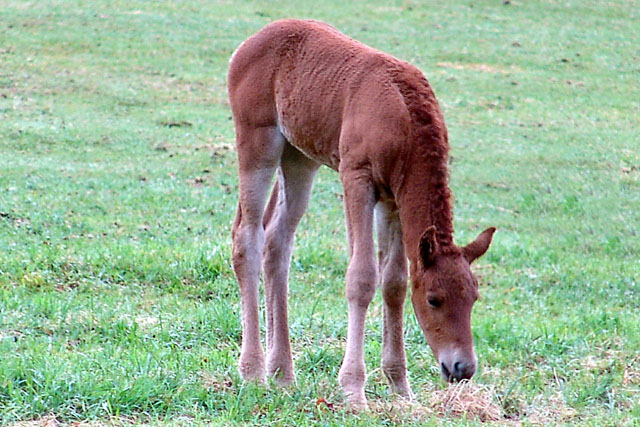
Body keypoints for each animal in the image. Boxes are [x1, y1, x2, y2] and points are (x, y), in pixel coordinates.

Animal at [228, 19, 498, 408]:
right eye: (434, 299)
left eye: (473, 298)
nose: (461, 368)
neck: (405, 118)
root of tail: (249, 43)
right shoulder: (357, 177)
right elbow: (362, 278)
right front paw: (353, 390)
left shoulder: (393, 199)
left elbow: (395, 282)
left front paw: (400, 386)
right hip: (258, 142)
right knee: (247, 238)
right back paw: (253, 371)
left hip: (300, 157)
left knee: (277, 242)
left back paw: (283, 374)